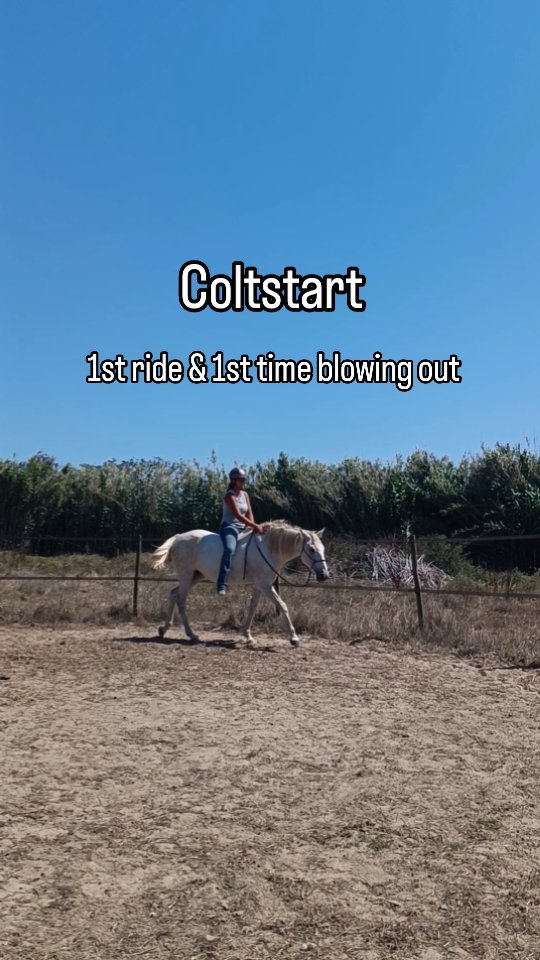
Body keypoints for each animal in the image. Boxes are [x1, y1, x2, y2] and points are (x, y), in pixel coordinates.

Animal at [152, 520, 329, 647]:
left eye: (323, 548)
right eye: (312, 549)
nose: (324, 575)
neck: (268, 549)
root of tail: (178, 537)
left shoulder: (259, 586)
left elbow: (252, 608)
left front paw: (248, 636)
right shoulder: (265, 585)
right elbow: (282, 605)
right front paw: (294, 638)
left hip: (195, 576)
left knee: (173, 594)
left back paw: (163, 629)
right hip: (186, 576)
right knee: (181, 600)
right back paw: (191, 634)